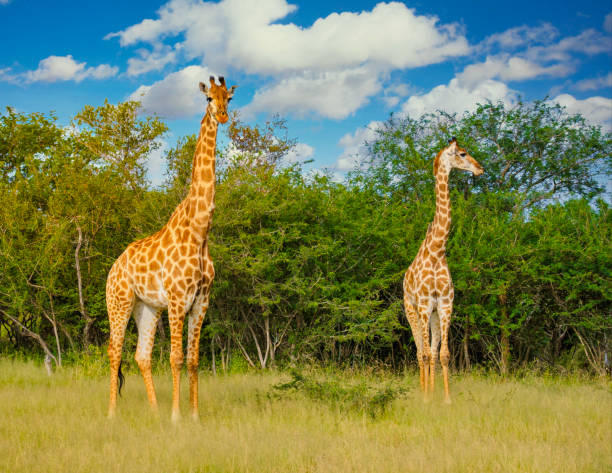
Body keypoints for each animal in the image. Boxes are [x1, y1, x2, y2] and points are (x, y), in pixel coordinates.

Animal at [106, 75, 235, 418]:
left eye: (228, 98)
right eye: (208, 98)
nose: (222, 116)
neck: (200, 231)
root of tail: (113, 268)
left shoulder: (201, 302)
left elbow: (193, 360)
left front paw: (193, 416)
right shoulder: (178, 300)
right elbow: (176, 359)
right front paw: (177, 417)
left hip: (147, 307)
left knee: (141, 355)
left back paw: (154, 412)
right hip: (119, 302)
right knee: (114, 351)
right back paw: (111, 413)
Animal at [404, 137, 486, 402]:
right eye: (463, 153)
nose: (480, 168)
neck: (438, 249)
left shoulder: (445, 304)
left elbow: (443, 355)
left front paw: (446, 399)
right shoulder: (423, 304)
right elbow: (425, 353)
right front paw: (426, 398)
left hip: (433, 315)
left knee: (431, 350)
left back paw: (430, 390)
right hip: (411, 310)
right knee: (420, 352)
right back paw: (423, 391)